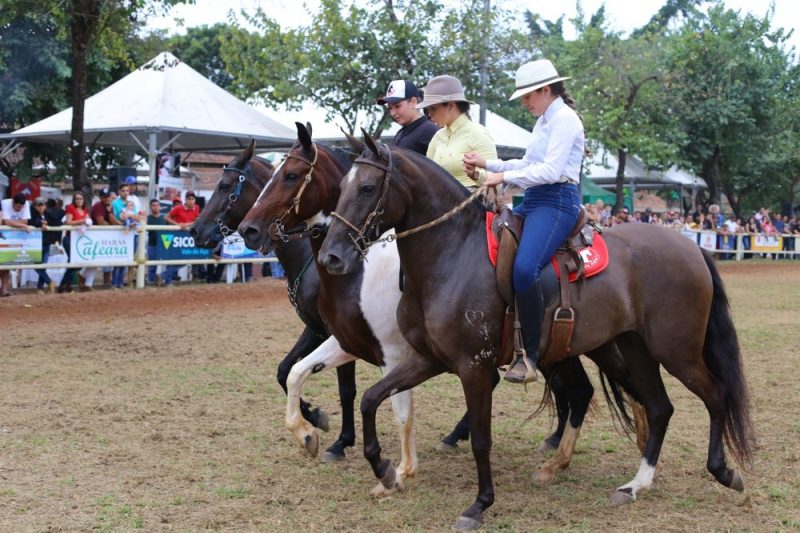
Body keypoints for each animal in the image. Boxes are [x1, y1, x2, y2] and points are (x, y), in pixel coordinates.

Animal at [189, 141, 357, 461]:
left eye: (225, 185)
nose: (195, 229)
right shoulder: (314, 329)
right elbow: (284, 370)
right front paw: (312, 416)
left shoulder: (338, 333)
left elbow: (346, 389)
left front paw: (342, 441)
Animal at [237, 123, 648, 494]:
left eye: (290, 175)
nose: (248, 230)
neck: (360, 275)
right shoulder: (345, 342)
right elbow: (296, 373)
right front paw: (309, 434)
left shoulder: (393, 354)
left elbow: (397, 410)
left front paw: (396, 469)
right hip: (564, 350)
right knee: (582, 391)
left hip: (595, 346)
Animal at [317, 133, 754, 530]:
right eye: (341, 187)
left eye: (368, 187)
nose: (330, 257)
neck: (451, 255)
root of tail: (691, 247)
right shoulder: (426, 359)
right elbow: (370, 399)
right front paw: (385, 471)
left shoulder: (474, 368)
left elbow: (481, 438)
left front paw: (479, 505)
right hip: (634, 349)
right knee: (659, 406)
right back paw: (634, 484)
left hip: (675, 351)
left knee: (715, 395)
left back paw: (723, 471)